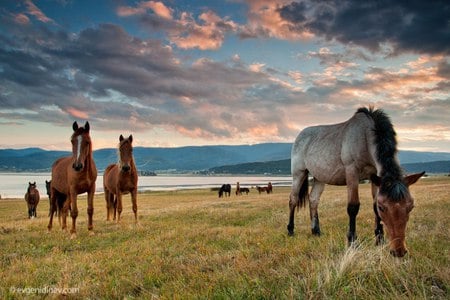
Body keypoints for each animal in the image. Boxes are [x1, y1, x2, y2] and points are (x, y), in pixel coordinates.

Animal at [288, 106, 426, 256]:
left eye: (411, 206)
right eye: (383, 207)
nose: (399, 251)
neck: (365, 136)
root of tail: (300, 135)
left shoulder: (375, 176)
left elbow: (373, 206)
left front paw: (379, 240)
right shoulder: (352, 172)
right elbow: (353, 207)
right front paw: (352, 241)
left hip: (320, 178)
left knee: (313, 199)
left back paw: (316, 231)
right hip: (299, 173)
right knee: (293, 199)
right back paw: (290, 230)